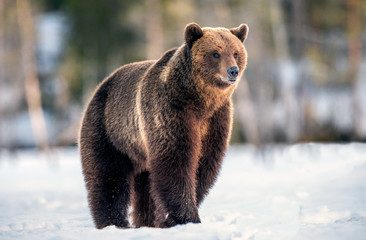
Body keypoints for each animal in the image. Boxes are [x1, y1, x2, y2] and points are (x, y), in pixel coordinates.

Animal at [78, 22, 247, 229]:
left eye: (236, 53)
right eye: (216, 53)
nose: (233, 71)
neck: (200, 100)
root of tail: (102, 84)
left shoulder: (215, 120)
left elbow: (203, 164)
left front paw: (173, 218)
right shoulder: (170, 110)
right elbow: (176, 160)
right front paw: (187, 216)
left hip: (140, 151)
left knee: (145, 187)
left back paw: (147, 221)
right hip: (109, 131)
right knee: (108, 177)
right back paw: (114, 222)